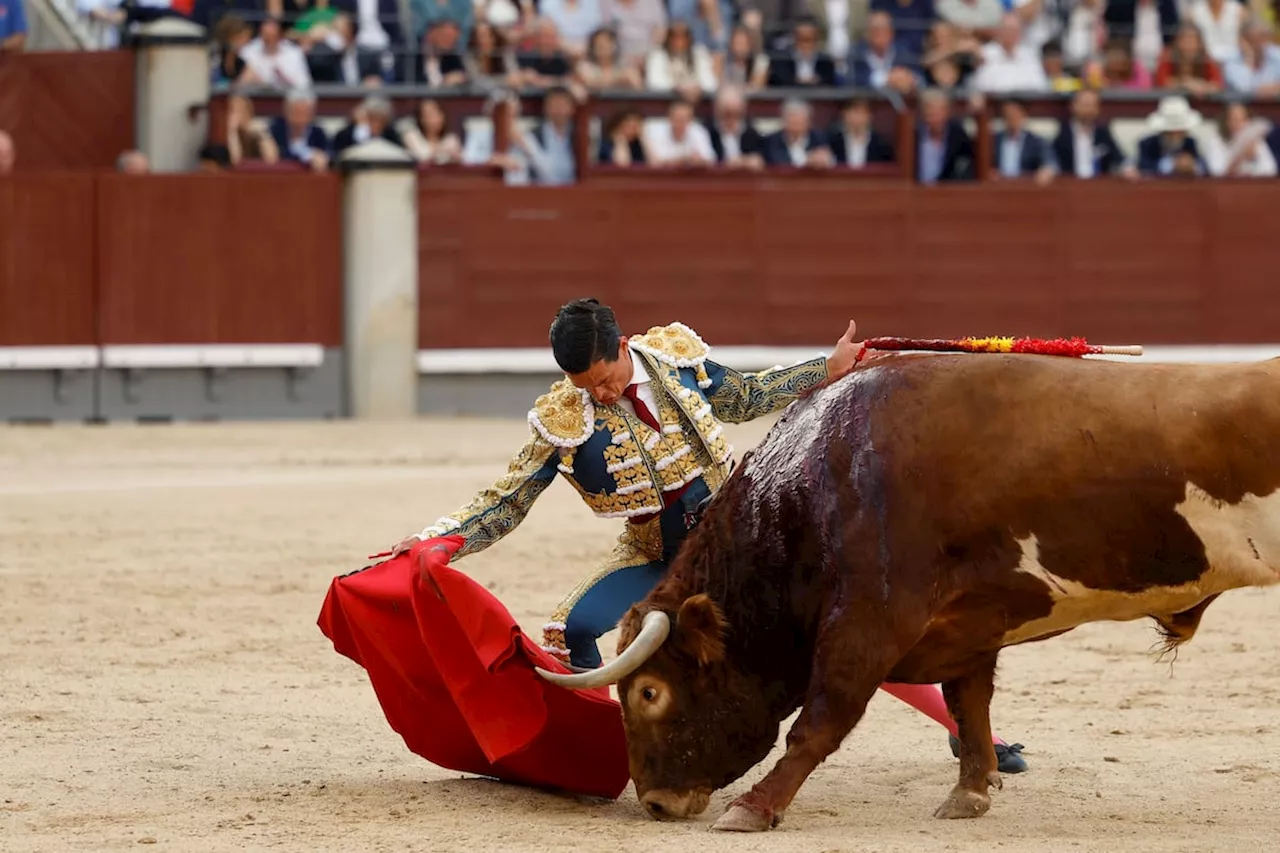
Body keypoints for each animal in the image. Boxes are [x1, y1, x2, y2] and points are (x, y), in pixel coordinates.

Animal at [532, 350, 1280, 829]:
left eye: (649, 692)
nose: (657, 803)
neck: (815, 482)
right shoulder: (967, 625)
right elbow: (968, 702)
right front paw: (972, 793)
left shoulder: (868, 617)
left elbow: (821, 718)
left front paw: (754, 808)